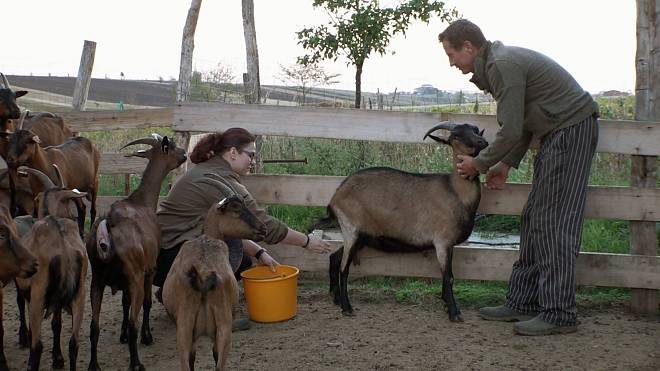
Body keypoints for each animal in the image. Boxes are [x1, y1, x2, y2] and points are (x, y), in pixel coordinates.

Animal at [14, 166, 88, 371]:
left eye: (36, 199)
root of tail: (64, 250)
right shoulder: (59, 300)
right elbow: (57, 324)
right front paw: (58, 358)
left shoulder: (28, 288)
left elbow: (21, 304)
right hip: (80, 295)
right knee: (74, 343)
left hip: (39, 296)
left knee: (37, 346)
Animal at [85, 135, 186, 371]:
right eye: (172, 147)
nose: (185, 154)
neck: (142, 201)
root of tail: (108, 223)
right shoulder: (148, 269)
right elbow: (146, 303)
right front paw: (147, 337)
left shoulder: (123, 281)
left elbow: (124, 303)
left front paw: (120, 335)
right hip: (135, 277)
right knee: (134, 322)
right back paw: (136, 363)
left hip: (97, 280)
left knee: (94, 326)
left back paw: (94, 365)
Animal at [326, 123, 488, 322]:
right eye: (455, 136)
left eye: (476, 130)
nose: (482, 142)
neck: (456, 191)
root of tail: (336, 196)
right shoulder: (442, 241)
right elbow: (448, 277)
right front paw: (454, 312)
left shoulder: (448, 244)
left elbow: (446, 277)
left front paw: (446, 305)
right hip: (351, 228)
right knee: (344, 268)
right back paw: (347, 307)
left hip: (362, 236)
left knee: (334, 258)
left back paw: (336, 299)